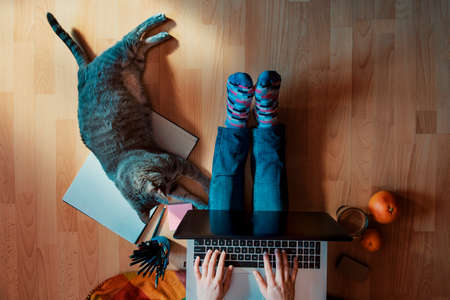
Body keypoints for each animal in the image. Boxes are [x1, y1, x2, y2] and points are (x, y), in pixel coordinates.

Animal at [48, 12, 210, 223]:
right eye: (166, 185)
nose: (172, 181)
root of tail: (83, 71)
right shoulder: (176, 177)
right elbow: (191, 197)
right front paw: (205, 205)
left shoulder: (178, 161)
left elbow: (200, 179)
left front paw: (210, 188)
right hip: (135, 61)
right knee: (141, 44)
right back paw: (162, 35)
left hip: (121, 53)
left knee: (133, 34)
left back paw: (159, 20)